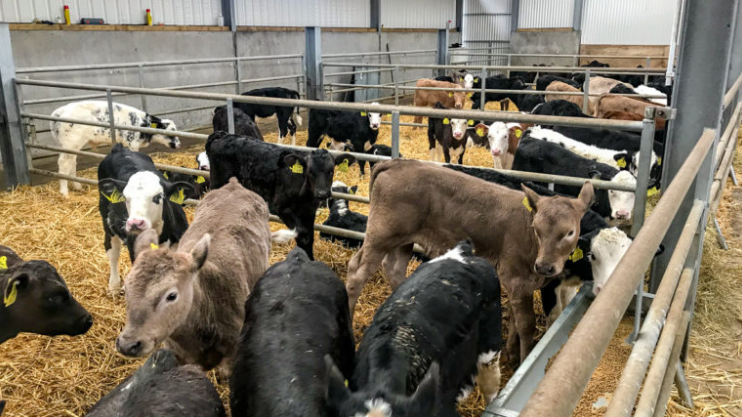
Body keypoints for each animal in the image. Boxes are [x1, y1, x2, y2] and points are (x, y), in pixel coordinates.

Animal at [51, 101, 180, 196]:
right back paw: (64, 192)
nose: (178, 144)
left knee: (72, 163)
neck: (142, 124)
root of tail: (58, 112)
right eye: (171, 132)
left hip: (69, 147)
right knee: (64, 164)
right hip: (70, 144)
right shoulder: (132, 143)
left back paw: (78, 187)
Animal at [97, 144, 193, 295]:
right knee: (112, 250)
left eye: (158, 197)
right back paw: (114, 285)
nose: (135, 223)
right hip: (107, 223)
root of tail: (120, 149)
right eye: (125, 198)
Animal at [206, 131, 354, 260]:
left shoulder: (308, 212)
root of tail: (223, 135)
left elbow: (309, 237)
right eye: (310, 171)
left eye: (331, 171)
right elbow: (302, 234)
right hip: (218, 185)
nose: (322, 193)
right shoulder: (281, 208)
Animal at [345, 159, 594, 365]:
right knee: (357, 271)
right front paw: (524, 359)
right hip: (381, 235)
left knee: (394, 268)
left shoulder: (520, 284)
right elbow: (526, 324)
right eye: (536, 229)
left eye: (570, 232)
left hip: (403, 239)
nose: (544, 266)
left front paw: (512, 354)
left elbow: (515, 320)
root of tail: (395, 162)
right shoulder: (515, 277)